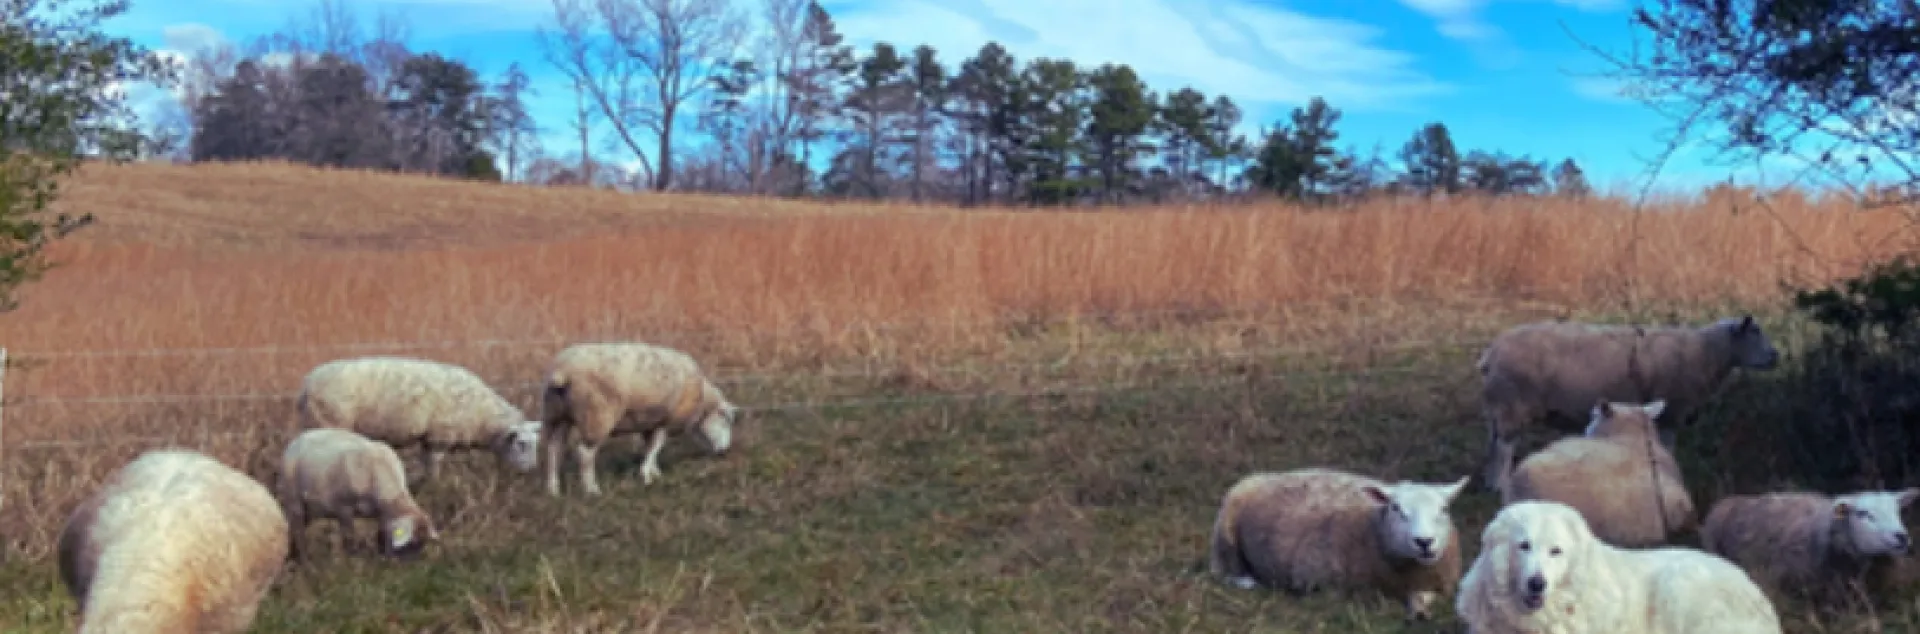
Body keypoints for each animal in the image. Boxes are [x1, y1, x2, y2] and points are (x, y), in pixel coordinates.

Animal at [276, 427, 440, 561]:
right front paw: (353, 564)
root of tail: (300, 437)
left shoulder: (382, 513)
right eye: (412, 543)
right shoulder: (344, 509)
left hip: (310, 508)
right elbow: (349, 540)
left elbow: (383, 534)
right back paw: (306, 564)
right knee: (299, 532)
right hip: (294, 499)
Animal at [297, 355, 542, 485]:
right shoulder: (439, 436)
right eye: (522, 444)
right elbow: (434, 464)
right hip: (329, 421)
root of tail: (307, 385)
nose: (530, 471)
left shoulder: (428, 438)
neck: (482, 415)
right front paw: (435, 485)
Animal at [539, 341, 739, 497]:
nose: (724, 451)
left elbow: (650, 447)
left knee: (553, 449)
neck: (702, 400)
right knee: (584, 454)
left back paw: (553, 490)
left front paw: (654, 472)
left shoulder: (650, 422)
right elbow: (656, 447)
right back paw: (591, 489)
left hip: (556, 416)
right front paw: (647, 475)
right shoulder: (664, 421)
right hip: (596, 416)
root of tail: (563, 371)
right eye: (727, 421)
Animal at [1207, 467, 1472, 621]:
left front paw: (1420, 610)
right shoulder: (1319, 582)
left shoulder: (1436, 583)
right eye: (1396, 508)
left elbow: (1423, 598)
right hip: (1224, 535)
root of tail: (1268, 474)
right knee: (1224, 571)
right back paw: (1247, 581)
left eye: (1444, 509)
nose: (1424, 542)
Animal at [1476, 315, 1779, 493]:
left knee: (1493, 445)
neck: (1706, 352)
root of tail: (1492, 353)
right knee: (1504, 449)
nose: (1776, 356)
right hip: (1513, 403)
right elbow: (1668, 448)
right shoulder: (1672, 412)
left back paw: (1490, 483)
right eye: (1754, 332)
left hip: (1498, 408)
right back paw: (1501, 486)